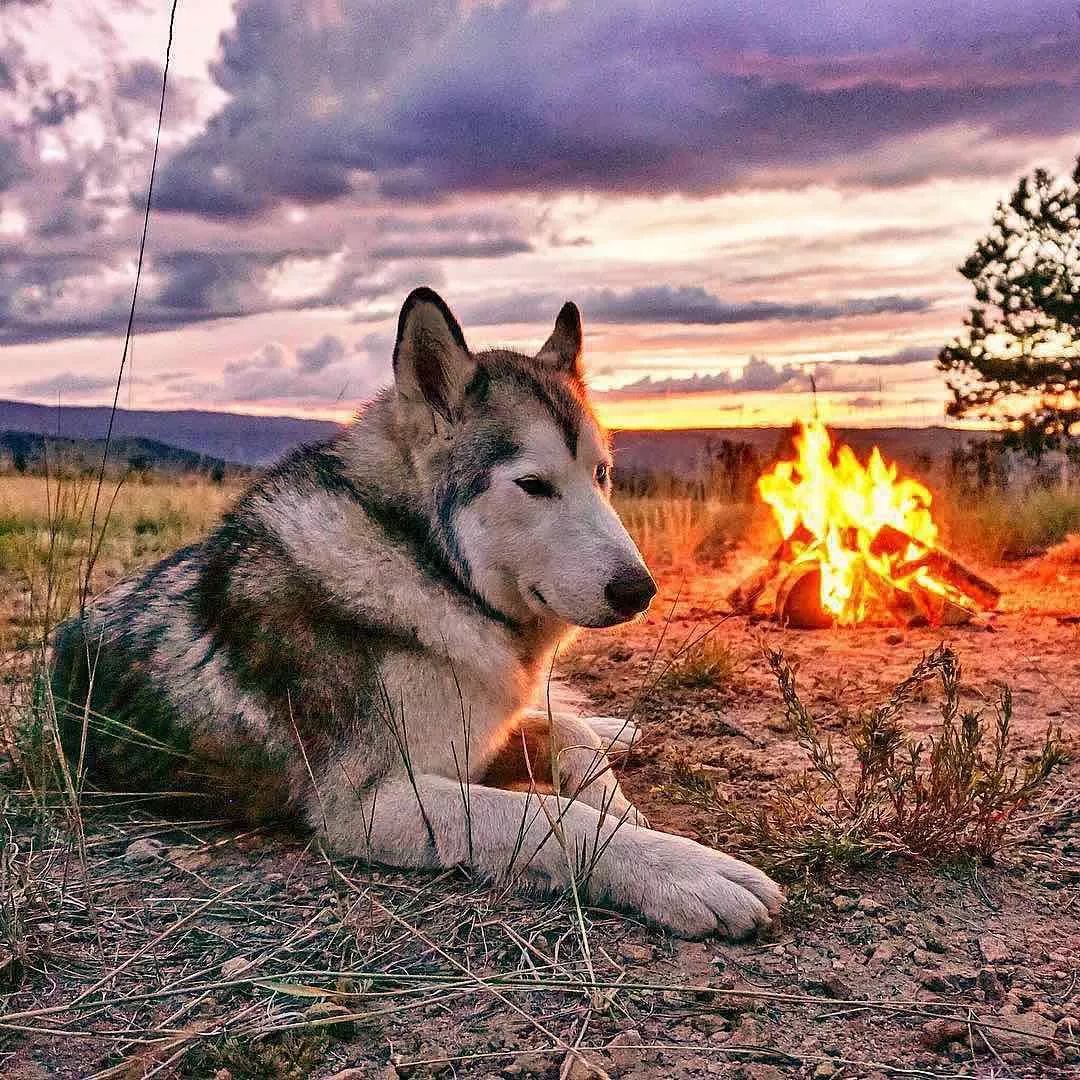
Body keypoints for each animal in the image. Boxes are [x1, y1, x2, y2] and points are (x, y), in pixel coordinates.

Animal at [54, 287, 781, 937]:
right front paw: (682, 870)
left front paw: (618, 801)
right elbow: (553, 821)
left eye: (602, 475)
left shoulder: (478, 733)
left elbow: (568, 733)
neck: (430, 566)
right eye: (533, 485)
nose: (639, 591)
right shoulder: (374, 803)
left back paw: (618, 727)